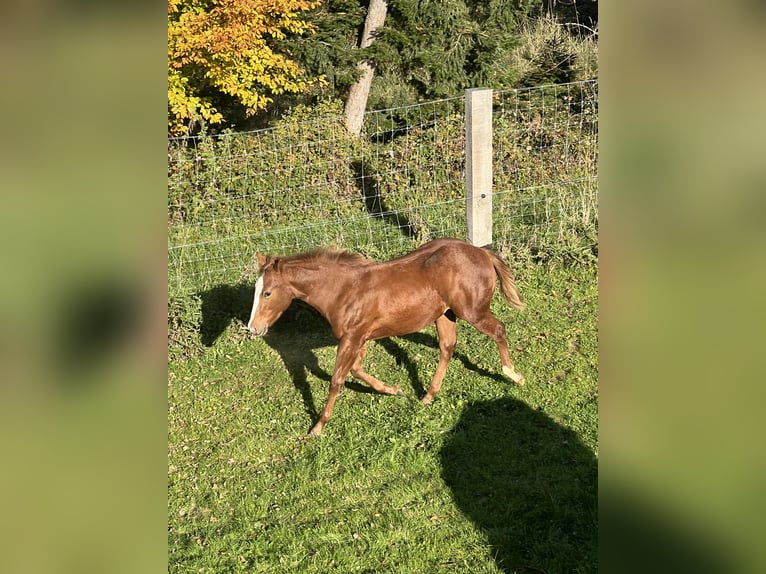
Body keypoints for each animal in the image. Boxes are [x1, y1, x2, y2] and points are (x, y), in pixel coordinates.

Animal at [249, 238, 524, 436]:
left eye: (267, 293)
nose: (253, 328)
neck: (343, 291)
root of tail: (482, 253)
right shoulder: (360, 338)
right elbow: (357, 370)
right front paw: (394, 390)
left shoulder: (351, 338)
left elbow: (336, 380)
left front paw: (317, 427)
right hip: (446, 314)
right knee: (447, 347)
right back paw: (427, 396)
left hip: (472, 311)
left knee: (499, 330)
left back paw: (514, 375)